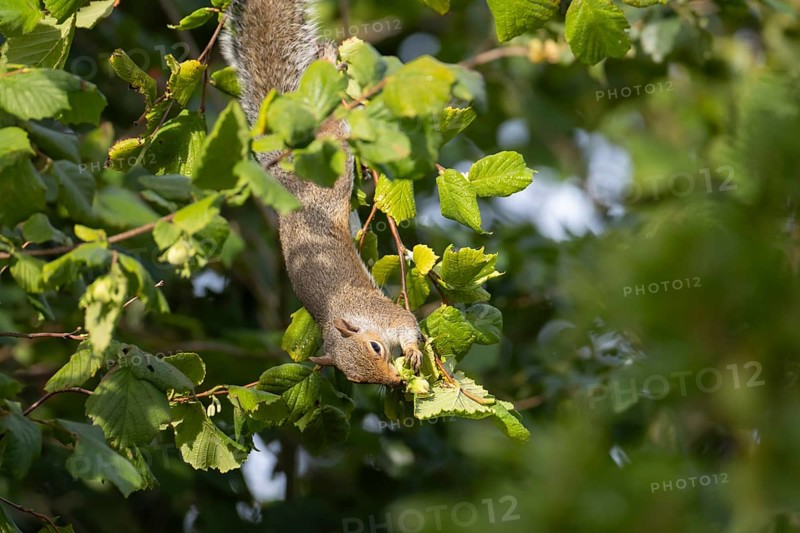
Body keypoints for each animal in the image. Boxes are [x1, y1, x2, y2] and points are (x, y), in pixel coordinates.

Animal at [222, 0, 423, 387]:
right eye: (357, 380)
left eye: (376, 348)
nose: (393, 382)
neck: (343, 318)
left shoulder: (381, 311)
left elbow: (406, 323)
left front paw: (413, 352)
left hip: (334, 146)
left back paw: (330, 60)